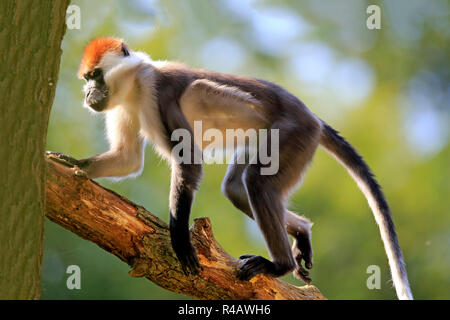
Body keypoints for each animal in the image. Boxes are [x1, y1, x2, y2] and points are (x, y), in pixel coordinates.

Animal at [51, 38, 414, 300]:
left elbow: (189, 162)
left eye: (95, 76)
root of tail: (312, 117)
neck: (136, 85)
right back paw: (301, 231)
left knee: (255, 180)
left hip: (294, 134)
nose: (88, 92)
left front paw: (180, 239)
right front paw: (72, 164)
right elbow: (128, 158)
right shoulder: (124, 105)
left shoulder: (159, 93)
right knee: (239, 189)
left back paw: (278, 265)